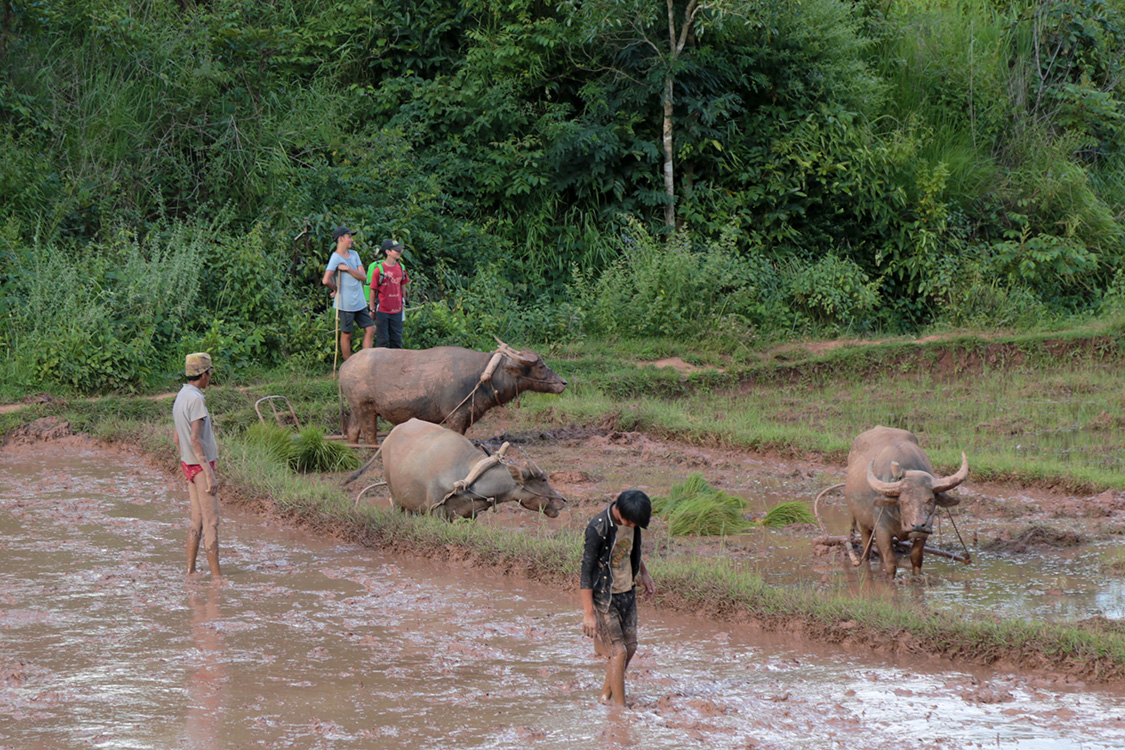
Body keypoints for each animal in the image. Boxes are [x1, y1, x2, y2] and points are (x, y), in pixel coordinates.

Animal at [337, 344, 567, 443]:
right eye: (540, 366)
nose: (563, 382)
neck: (480, 376)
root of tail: (344, 366)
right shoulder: (455, 416)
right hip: (365, 409)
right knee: (369, 434)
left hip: (357, 409)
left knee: (352, 431)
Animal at [846, 425, 967, 580]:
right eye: (903, 502)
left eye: (930, 500)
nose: (918, 525)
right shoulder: (883, 530)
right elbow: (891, 561)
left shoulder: (924, 532)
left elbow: (916, 558)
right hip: (864, 523)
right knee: (867, 545)